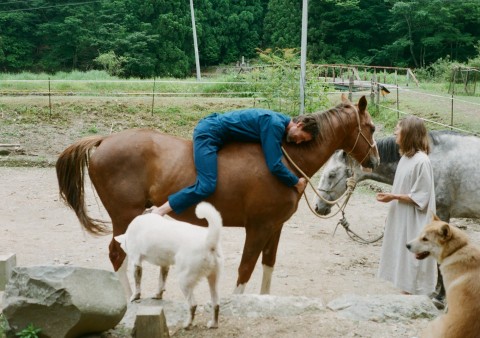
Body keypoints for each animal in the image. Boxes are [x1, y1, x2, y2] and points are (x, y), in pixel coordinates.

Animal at [55, 94, 378, 296]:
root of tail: (103, 140)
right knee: (117, 253)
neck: (286, 156)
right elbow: (245, 269)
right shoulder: (258, 228)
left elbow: (268, 266)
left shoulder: (274, 228)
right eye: (372, 127)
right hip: (123, 216)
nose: (374, 160)